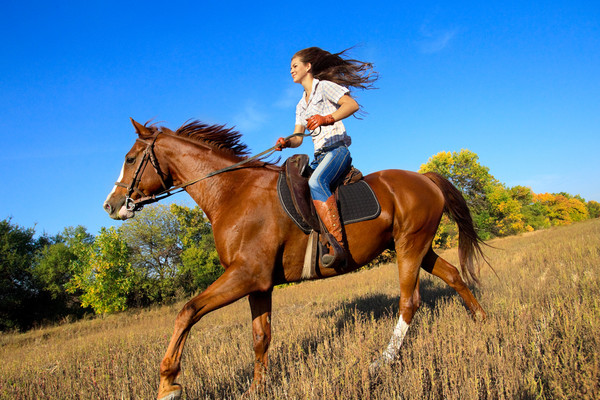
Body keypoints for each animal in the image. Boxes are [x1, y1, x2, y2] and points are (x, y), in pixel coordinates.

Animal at [103, 119, 488, 400]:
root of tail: (424, 177)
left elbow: (187, 312)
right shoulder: (259, 285)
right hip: (418, 246)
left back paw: (382, 361)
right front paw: (258, 388)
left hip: (409, 247)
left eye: (130, 159)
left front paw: (168, 384)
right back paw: (483, 321)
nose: (110, 205)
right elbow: (261, 336)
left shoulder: (246, 275)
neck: (232, 193)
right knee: (453, 275)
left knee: (410, 301)